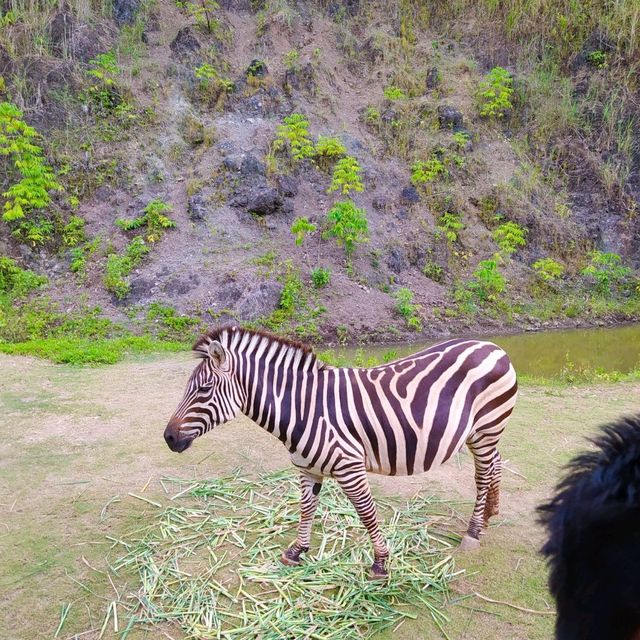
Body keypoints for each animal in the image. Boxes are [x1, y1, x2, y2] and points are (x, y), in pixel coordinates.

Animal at [162, 328, 516, 576]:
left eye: (203, 389)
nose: (168, 438)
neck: (303, 409)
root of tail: (492, 346)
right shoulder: (307, 469)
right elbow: (306, 510)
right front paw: (296, 551)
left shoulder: (350, 467)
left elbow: (367, 513)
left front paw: (380, 563)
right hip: (482, 434)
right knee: (495, 466)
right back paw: (490, 514)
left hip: (485, 429)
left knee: (483, 475)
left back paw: (473, 532)